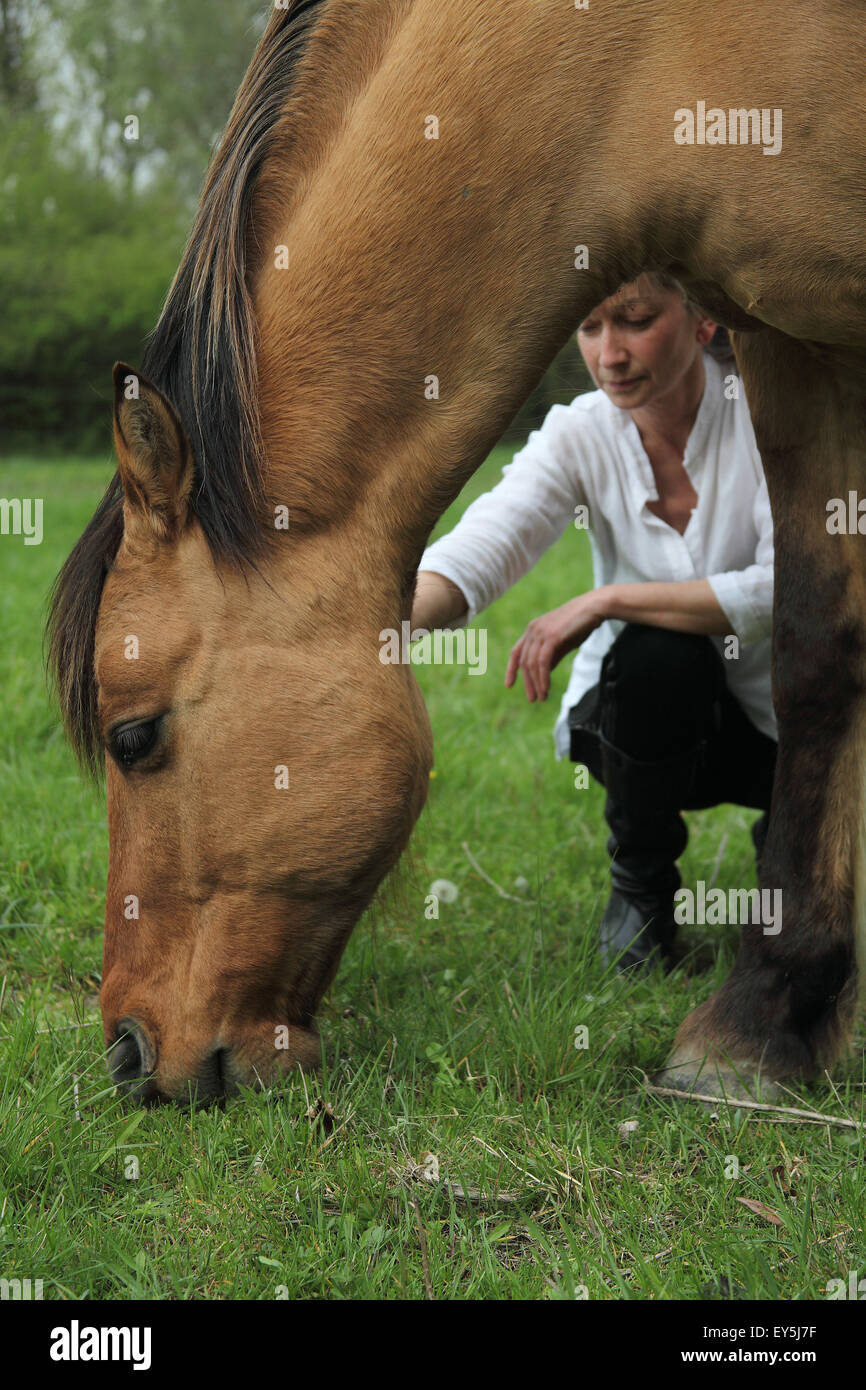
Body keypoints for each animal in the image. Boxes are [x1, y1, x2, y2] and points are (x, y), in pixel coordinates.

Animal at [48, 0, 866, 1103]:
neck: (647, 53)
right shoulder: (792, 342)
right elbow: (818, 649)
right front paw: (772, 1017)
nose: (129, 1054)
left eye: (133, 737)